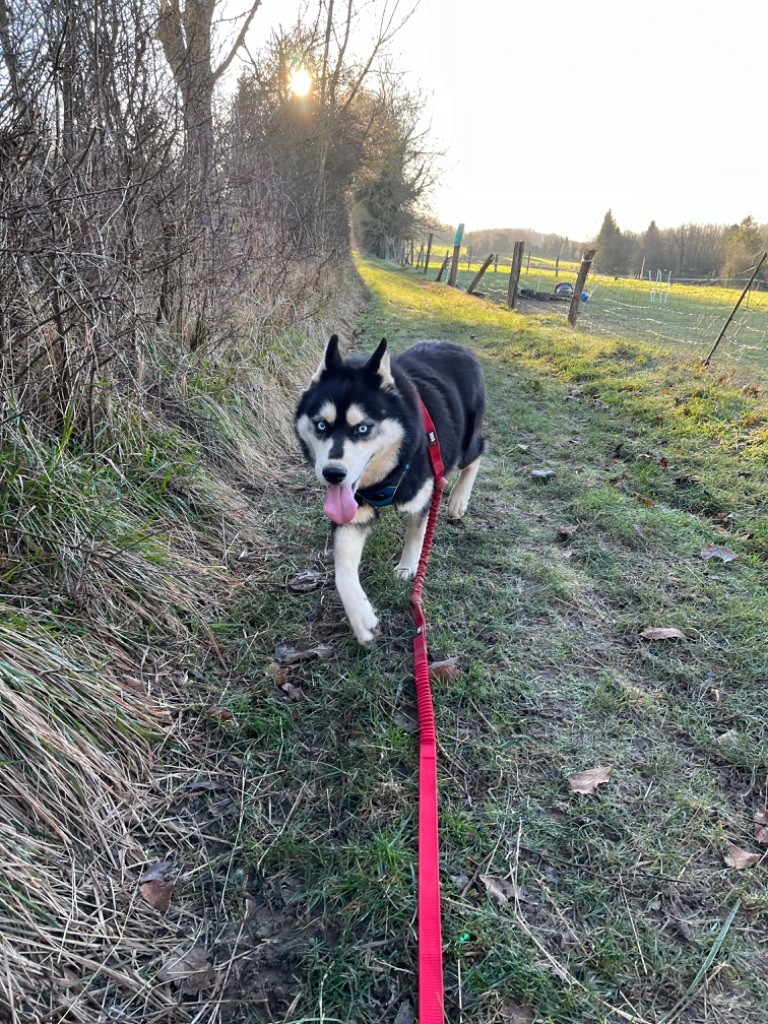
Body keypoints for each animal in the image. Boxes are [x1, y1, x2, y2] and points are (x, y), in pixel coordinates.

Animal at [296, 333, 487, 638]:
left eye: (363, 428)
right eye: (321, 425)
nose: (333, 474)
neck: (389, 471)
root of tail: (458, 346)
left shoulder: (423, 494)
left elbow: (416, 534)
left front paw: (408, 567)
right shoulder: (353, 511)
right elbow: (342, 569)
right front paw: (361, 618)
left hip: (464, 444)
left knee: (478, 451)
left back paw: (458, 500)